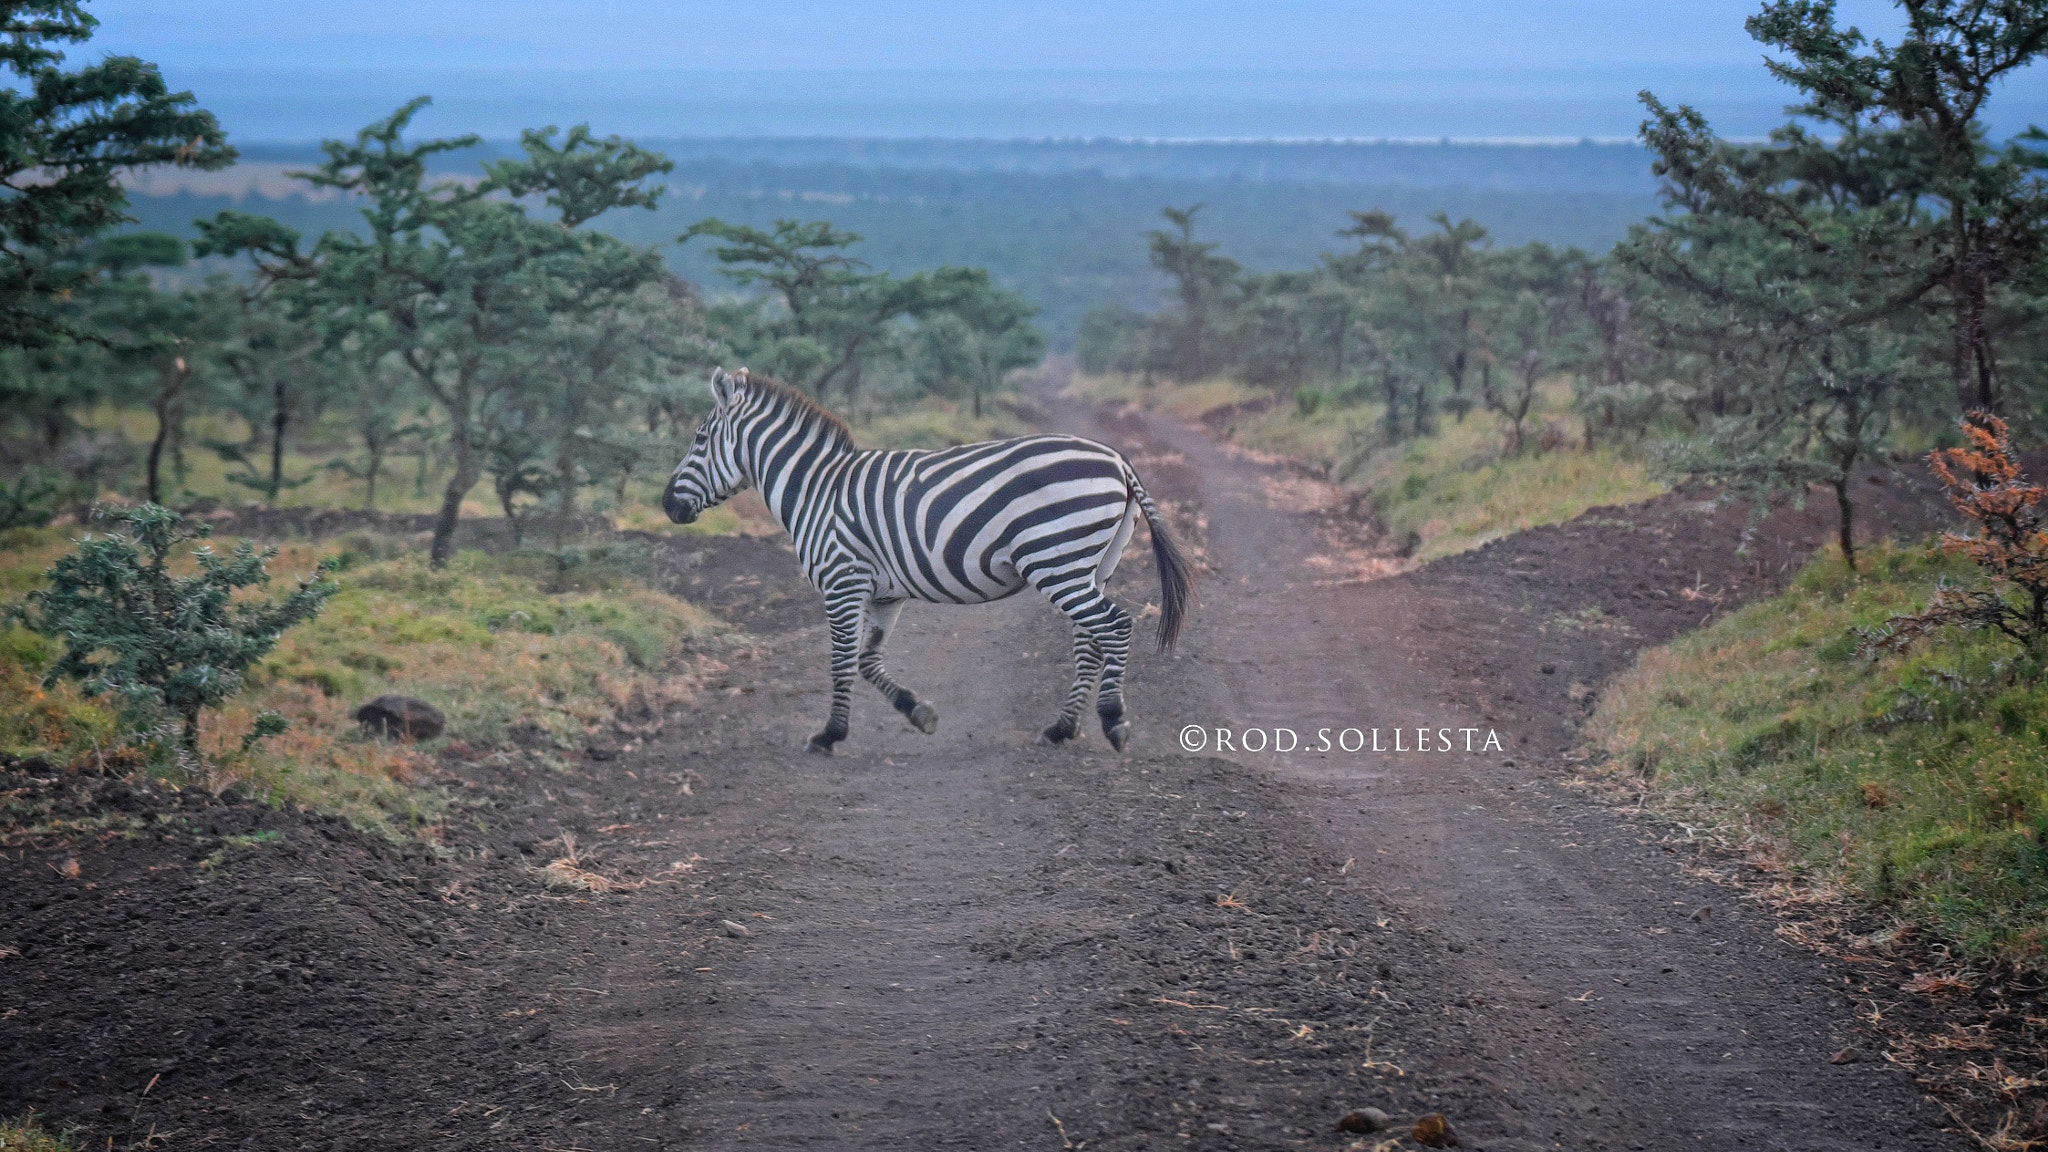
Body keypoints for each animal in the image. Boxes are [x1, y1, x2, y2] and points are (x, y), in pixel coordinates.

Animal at [663, 362, 1196, 750]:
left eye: (698, 439)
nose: (667, 505)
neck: (817, 488)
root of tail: (1117, 460)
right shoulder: (883, 594)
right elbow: (867, 661)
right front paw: (918, 713)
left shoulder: (842, 580)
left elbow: (841, 661)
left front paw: (830, 735)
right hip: (1090, 566)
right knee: (1091, 639)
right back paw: (1061, 728)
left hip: (1056, 561)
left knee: (1115, 626)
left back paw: (1113, 720)